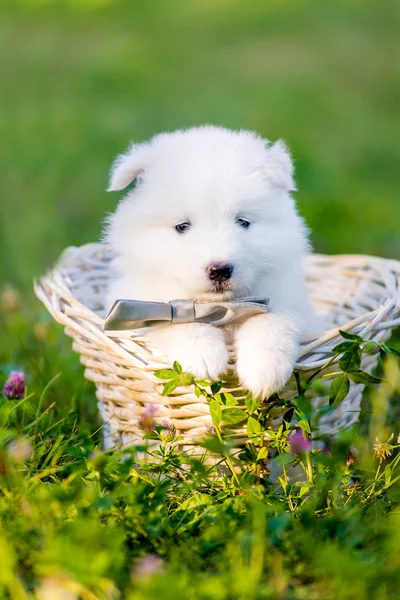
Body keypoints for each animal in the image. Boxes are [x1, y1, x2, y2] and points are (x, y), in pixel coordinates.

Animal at [104, 126, 320, 398]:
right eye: (182, 226)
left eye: (243, 222)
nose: (220, 270)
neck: (217, 307)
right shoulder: (139, 300)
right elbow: (175, 317)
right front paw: (204, 355)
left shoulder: (291, 302)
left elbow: (272, 320)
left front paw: (264, 370)